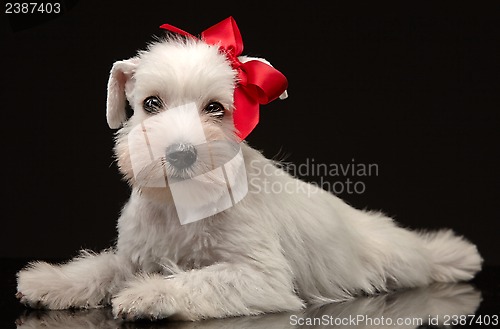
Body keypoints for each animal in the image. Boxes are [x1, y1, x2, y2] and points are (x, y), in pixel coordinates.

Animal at [16, 17, 480, 320]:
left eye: (215, 108)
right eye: (151, 103)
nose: (180, 153)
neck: (181, 207)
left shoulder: (259, 276)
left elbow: (198, 279)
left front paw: (150, 295)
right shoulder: (134, 255)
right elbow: (101, 266)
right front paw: (49, 282)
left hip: (394, 258)